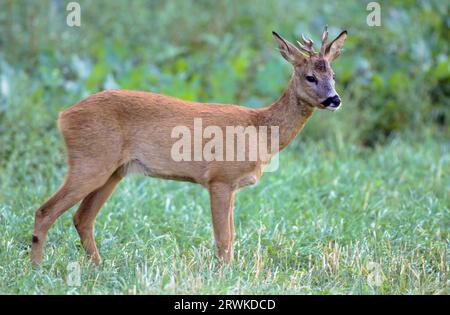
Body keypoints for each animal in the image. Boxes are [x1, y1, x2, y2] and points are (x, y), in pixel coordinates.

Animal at [30, 25, 348, 266]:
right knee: (46, 211)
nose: (334, 99)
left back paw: (98, 266)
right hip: (91, 161)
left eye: (333, 75)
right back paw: (37, 267)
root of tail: (64, 116)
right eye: (310, 76)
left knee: (82, 218)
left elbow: (231, 234)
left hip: (113, 171)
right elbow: (224, 236)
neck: (260, 129)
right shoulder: (220, 178)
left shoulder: (230, 185)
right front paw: (224, 273)